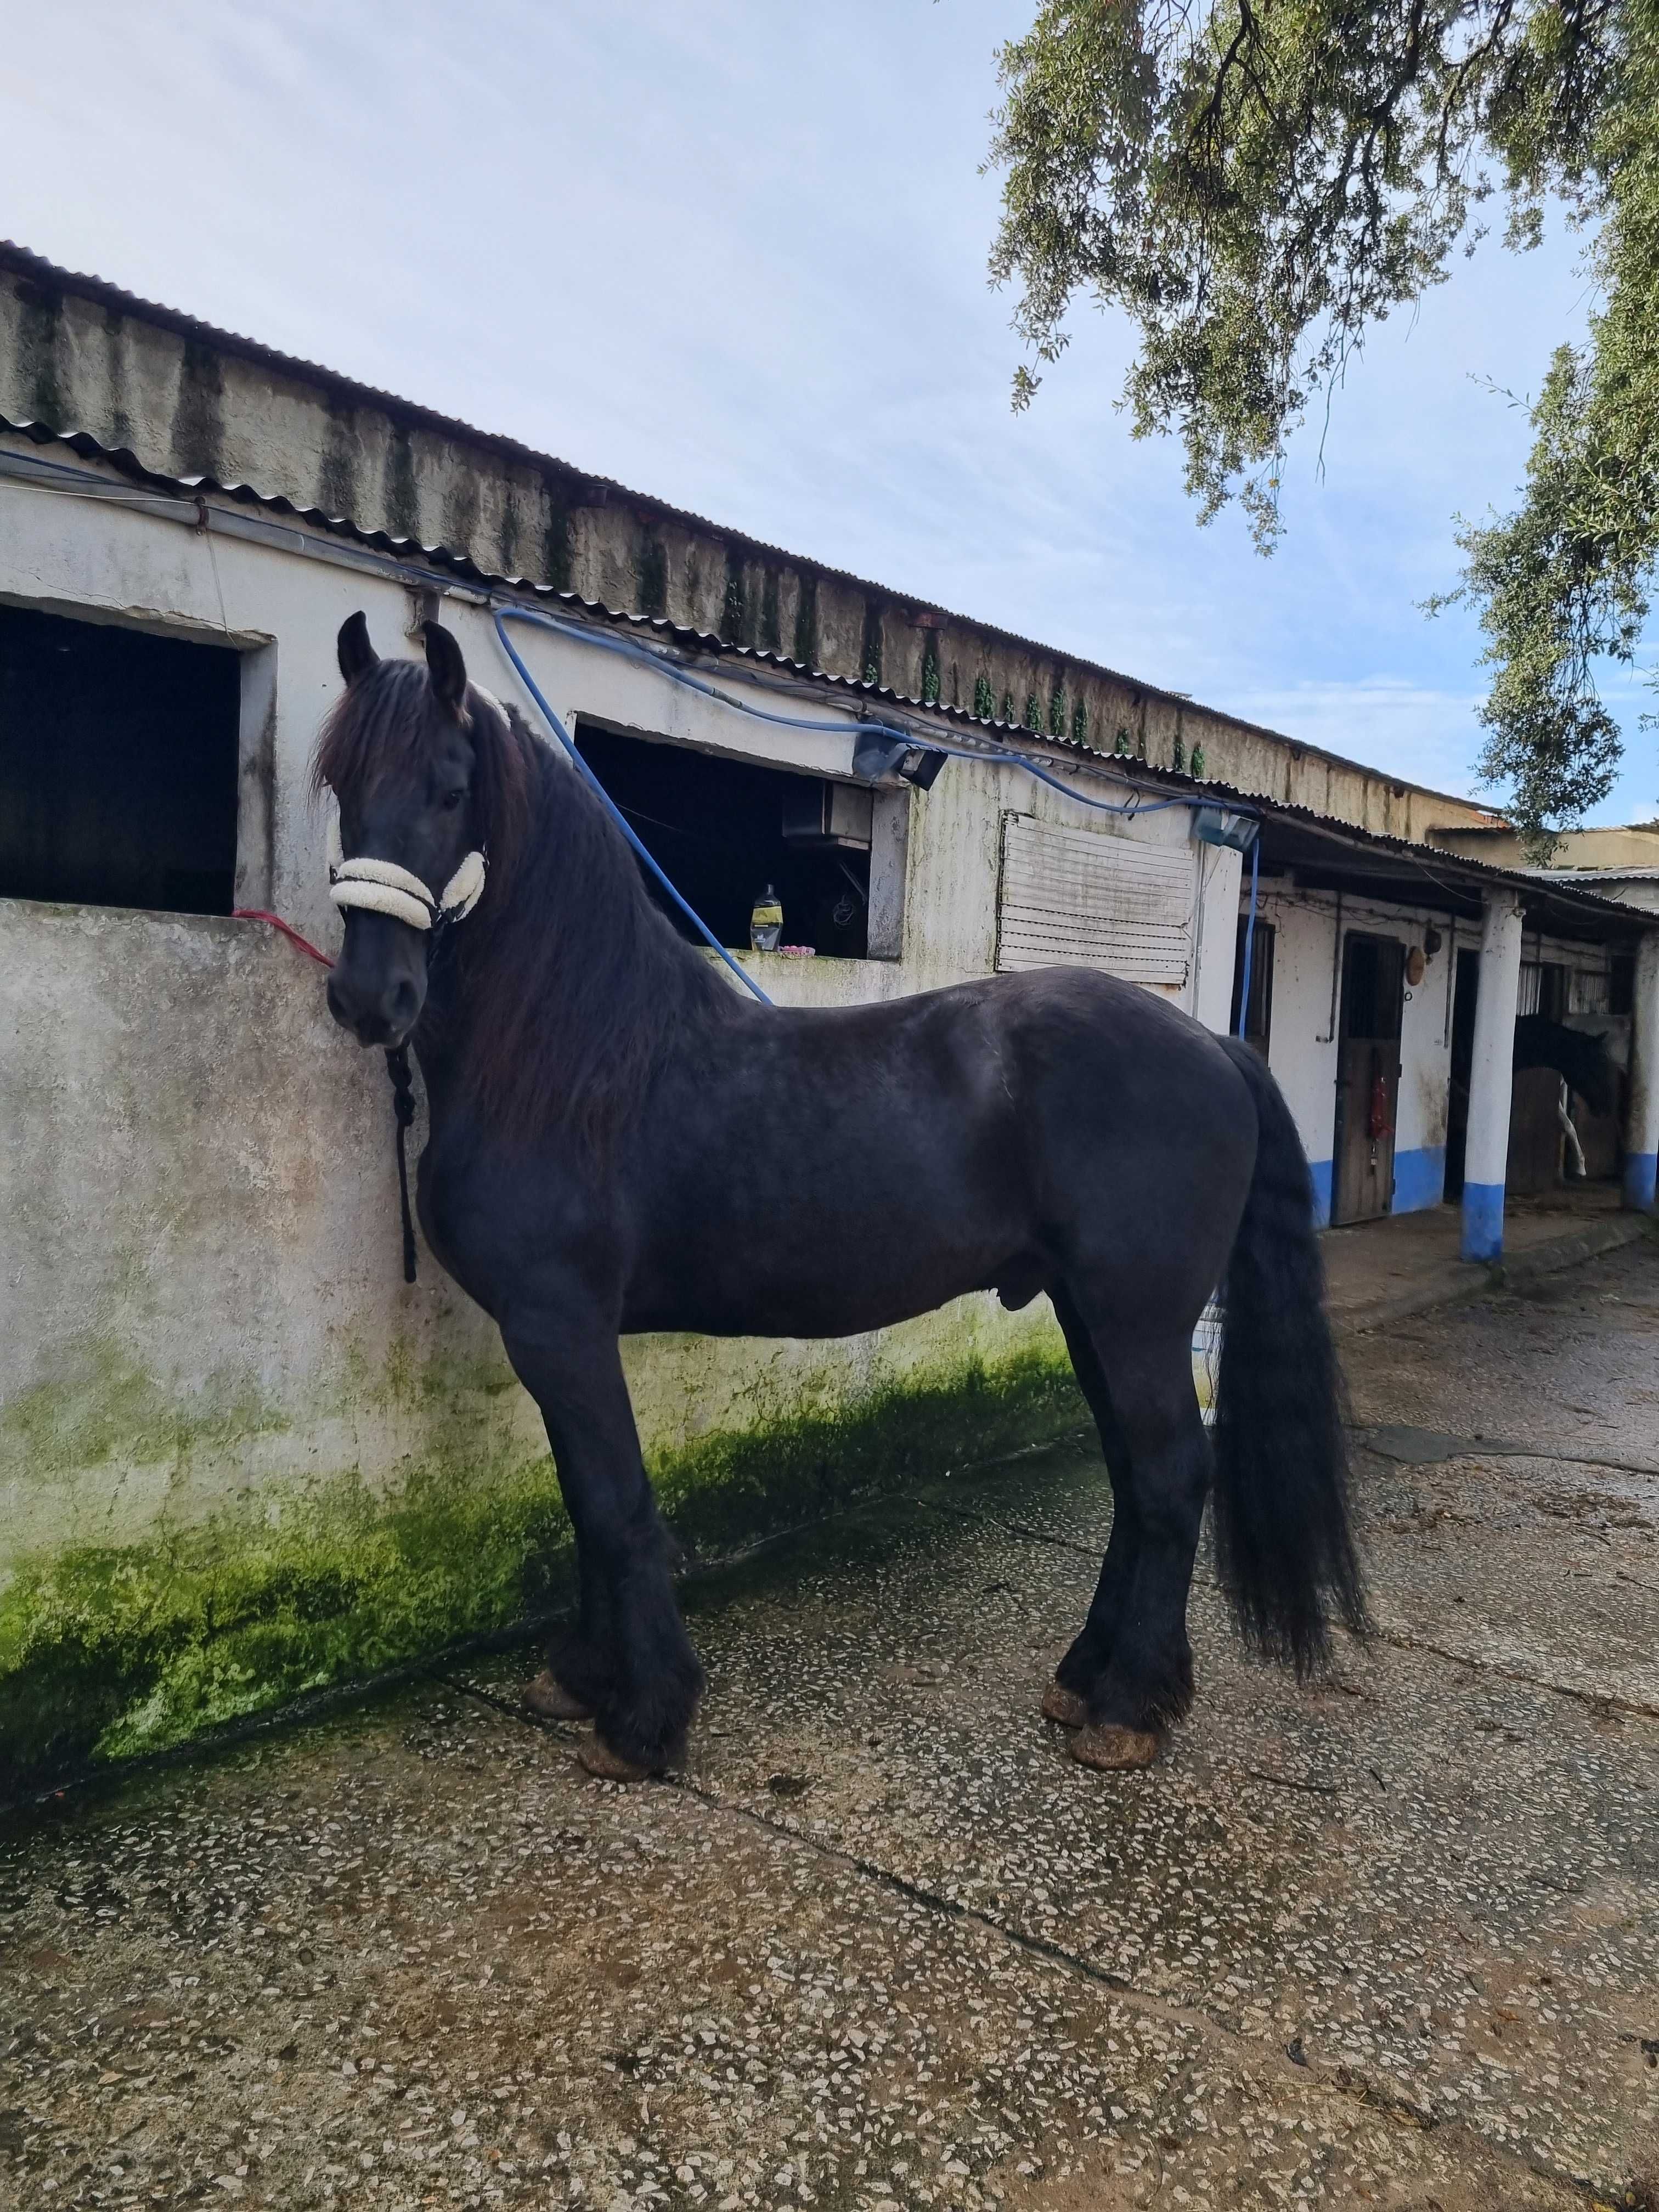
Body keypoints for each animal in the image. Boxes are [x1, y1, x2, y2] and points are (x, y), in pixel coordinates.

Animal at [314, 619, 1362, 1778]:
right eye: (340, 783)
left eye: (452, 788)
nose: (368, 997)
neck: (574, 1060)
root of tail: (1214, 1046)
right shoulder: (557, 1337)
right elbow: (585, 1506)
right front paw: (585, 1678)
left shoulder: (559, 1326)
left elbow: (612, 1503)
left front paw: (644, 1718)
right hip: (1088, 1312)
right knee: (1136, 1482)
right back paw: (1089, 1679)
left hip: (1132, 1317)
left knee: (1171, 1477)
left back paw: (1127, 1705)